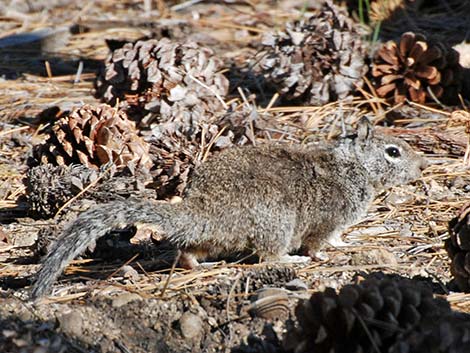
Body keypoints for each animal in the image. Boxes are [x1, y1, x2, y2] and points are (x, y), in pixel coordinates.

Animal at [31, 118, 428, 296]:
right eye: (393, 152)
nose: (421, 168)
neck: (353, 167)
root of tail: (200, 210)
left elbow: (338, 238)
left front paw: (346, 243)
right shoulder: (326, 220)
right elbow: (319, 242)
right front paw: (322, 254)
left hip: (211, 239)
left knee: (187, 254)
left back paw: (198, 263)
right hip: (278, 222)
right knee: (267, 255)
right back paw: (290, 260)